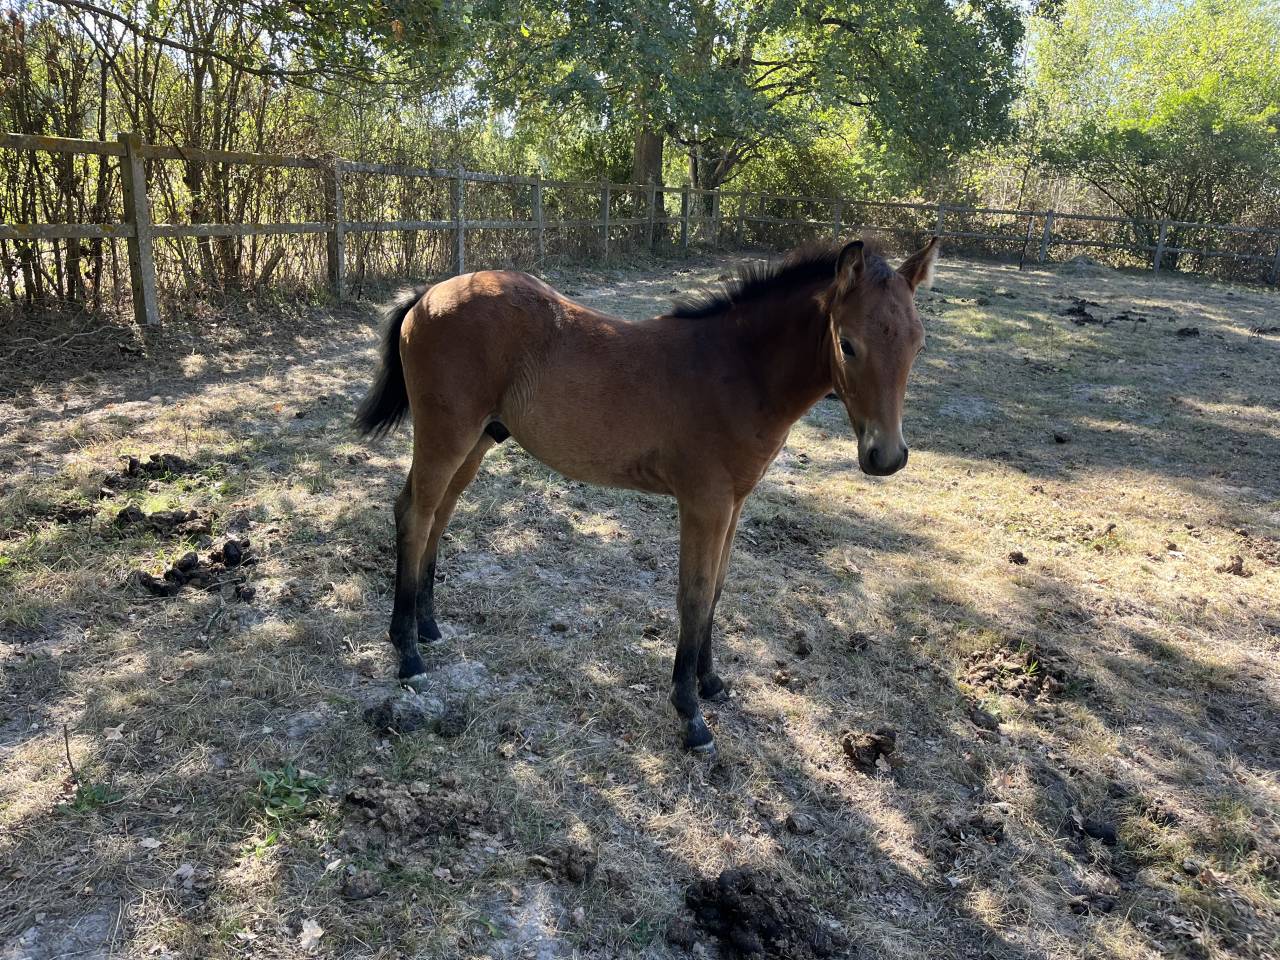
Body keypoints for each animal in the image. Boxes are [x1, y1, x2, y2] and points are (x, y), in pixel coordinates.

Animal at [355, 237, 937, 755]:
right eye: (848, 344)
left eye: (917, 343)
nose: (887, 456)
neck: (736, 370)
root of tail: (428, 295)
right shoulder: (704, 503)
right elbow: (694, 596)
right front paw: (691, 714)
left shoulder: (735, 504)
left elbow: (717, 591)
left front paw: (711, 683)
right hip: (447, 435)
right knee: (414, 514)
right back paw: (408, 653)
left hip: (476, 440)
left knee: (438, 515)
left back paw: (428, 627)